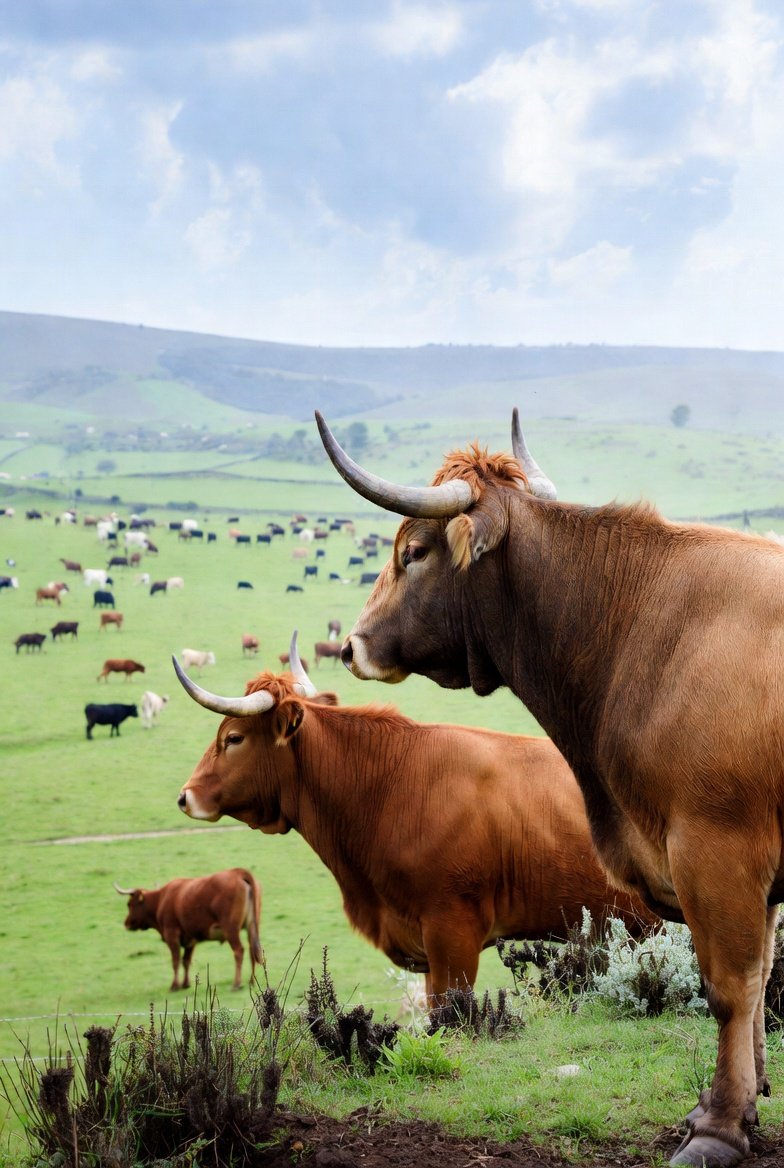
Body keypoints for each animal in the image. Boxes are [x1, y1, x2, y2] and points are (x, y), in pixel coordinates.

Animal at [114, 868, 262, 990]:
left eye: (129, 904)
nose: (126, 923)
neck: (161, 899)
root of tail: (238, 872)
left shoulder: (171, 934)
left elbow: (176, 961)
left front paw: (174, 986)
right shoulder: (190, 939)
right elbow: (186, 960)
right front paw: (185, 984)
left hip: (230, 928)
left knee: (239, 951)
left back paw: (236, 984)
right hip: (252, 926)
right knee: (252, 951)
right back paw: (251, 982)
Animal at [317, 408, 784, 1168]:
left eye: (413, 552)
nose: (353, 645)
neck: (639, 622)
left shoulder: (717, 850)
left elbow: (730, 987)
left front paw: (718, 1126)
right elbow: (761, 981)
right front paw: (745, 1105)